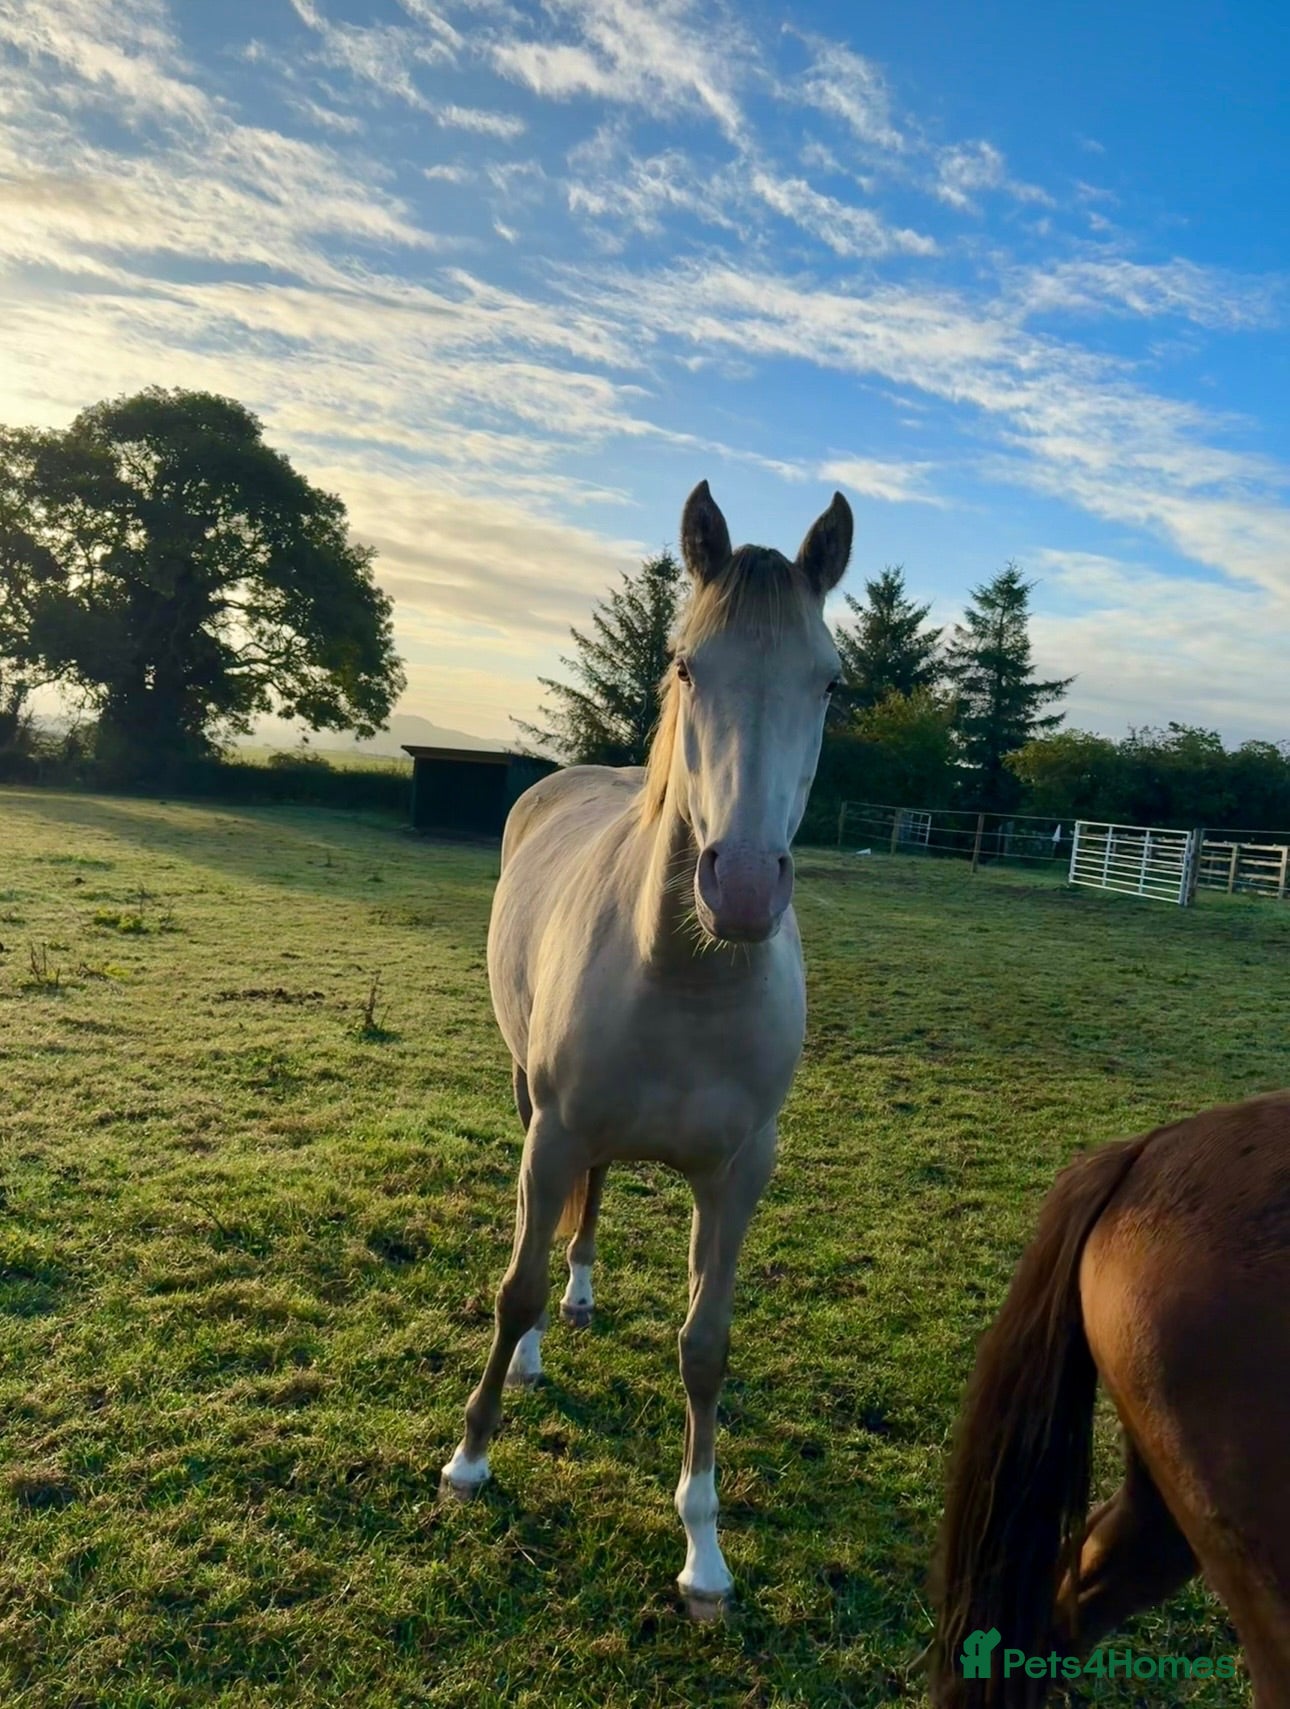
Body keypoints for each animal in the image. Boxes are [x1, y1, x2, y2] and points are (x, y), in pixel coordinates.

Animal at [439, 479, 853, 1617]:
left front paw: (703, 1547)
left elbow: (704, 1346)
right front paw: (471, 1456)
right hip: (536, 1110)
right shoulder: (553, 1132)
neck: (687, 974)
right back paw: (539, 1346)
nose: (743, 886)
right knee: (547, 1232)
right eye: (686, 664)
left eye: (830, 682)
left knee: (595, 1206)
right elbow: (514, 1285)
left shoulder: (741, 1174)